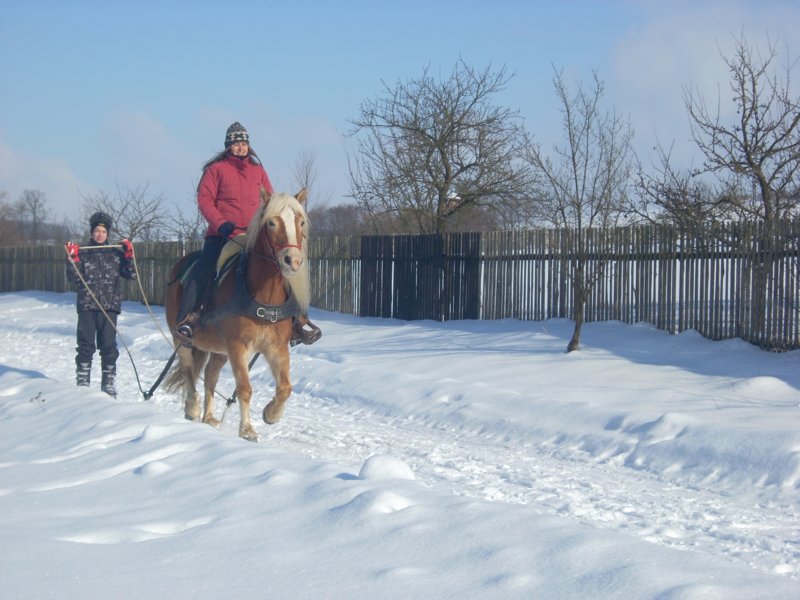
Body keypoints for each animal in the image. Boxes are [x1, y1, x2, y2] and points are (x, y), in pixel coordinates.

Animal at [165, 190, 310, 442]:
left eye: (300, 222)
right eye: (271, 223)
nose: (293, 261)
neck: (263, 296)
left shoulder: (276, 347)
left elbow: (285, 387)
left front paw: (271, 414)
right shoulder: (238, 346)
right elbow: (244, 388)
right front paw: (247, 430)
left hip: (217, 349)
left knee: (210, 375)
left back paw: (209, 417)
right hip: (182, 338)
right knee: (188, 369)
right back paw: (192, 407)